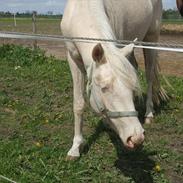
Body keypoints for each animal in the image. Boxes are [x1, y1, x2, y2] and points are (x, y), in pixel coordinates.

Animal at [61, 0, 183, 159]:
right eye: (104, 88)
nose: (136, 137)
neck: (82, 9)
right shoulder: (73, 59)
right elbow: (79, 104)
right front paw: (75, 148)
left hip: (151, 38)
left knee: (150, 76)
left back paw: (149, 113)